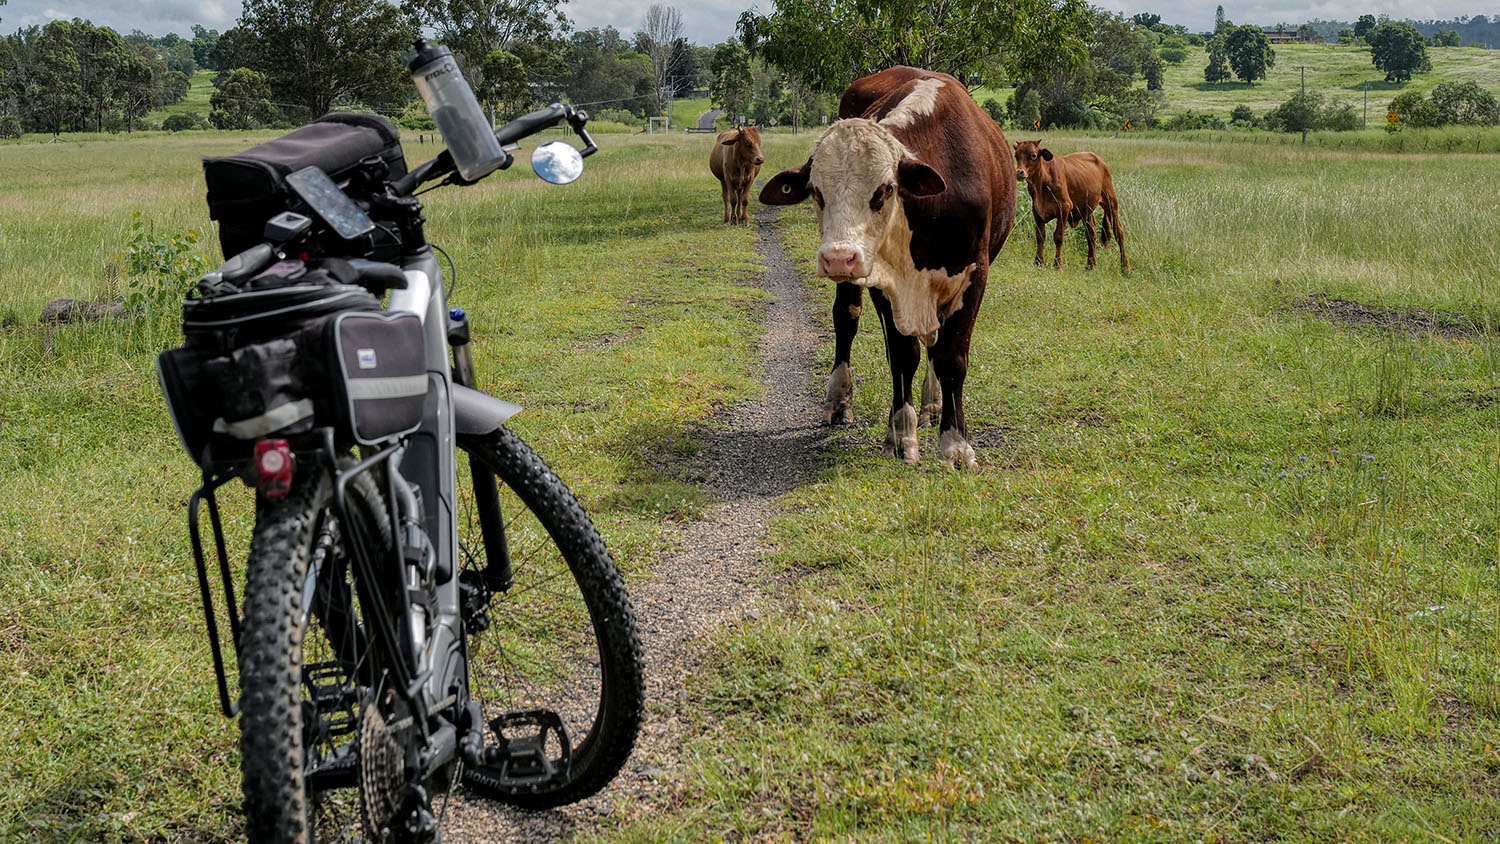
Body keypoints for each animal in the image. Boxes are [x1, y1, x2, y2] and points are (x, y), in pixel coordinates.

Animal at [756, 67, 1014, 467]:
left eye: (886, 189)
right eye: (817, 191)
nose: (838, 257)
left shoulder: (974, 276)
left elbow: (952, 358)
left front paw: (955, 442)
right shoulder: (883, 282)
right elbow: (902, 356)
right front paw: (901, 434)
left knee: (935, 342)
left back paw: (933, 405)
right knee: (846, 319)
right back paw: (840, 398)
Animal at [1008, 138, 1128, 271]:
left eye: (1033, 155)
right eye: (1016, 155)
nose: (1019, 172)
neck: (1041, 184)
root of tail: (1099, 159)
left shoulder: (1064, 208)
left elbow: (1058, 237)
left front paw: (1057, 265)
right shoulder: (1037, 210)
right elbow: (1040, 236)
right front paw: (1038, 262)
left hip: (1111, 201)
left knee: (1119, 232)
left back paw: (1125, 267)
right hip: (1086, 209)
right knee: (1091, 233)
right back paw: (1090, 265)